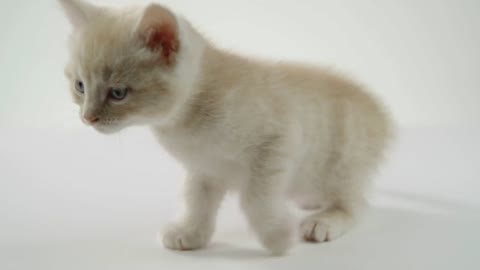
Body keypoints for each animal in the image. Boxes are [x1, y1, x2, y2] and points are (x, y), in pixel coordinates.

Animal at [58, 0, 392, 254]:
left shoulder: (278, 140)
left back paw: (325, 220)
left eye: (118, 93)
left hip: (343, 161)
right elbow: (196, 199)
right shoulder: (204, 167)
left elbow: (254, 198)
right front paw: (190, 232)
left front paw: (277, 237)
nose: (87, 117)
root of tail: (381, 114)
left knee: (356, 203)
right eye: (80, 86)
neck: (188, 118)